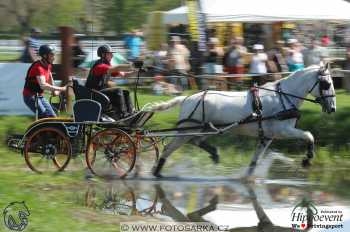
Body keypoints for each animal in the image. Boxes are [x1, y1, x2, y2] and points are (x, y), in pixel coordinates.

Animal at [146, 64, 334, 177]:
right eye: (326, 84)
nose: (332, 108)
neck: (283, 98)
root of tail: (187, 98)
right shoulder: (283, 131)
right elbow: (309, 135)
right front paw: (307, 158)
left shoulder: (267, 136)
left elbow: (255, 160)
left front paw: (247, 179)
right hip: (186, 131)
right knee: (169, 148)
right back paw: (157, 172)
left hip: (203, 129)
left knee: (196, 141)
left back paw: (214, 153)